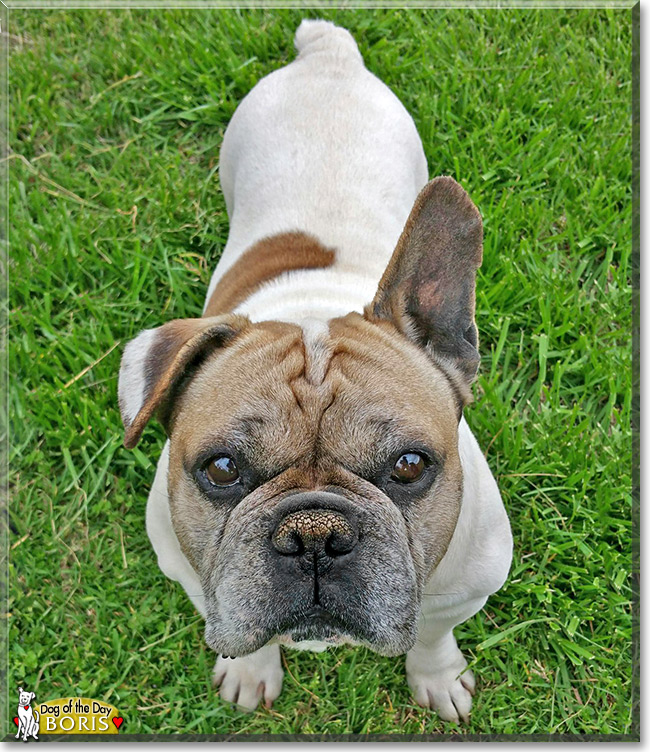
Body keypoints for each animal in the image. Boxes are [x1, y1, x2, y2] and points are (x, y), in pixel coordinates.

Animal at [117, 19, 512, 724]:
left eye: (410, 465)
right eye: (221, 470)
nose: (314, 534)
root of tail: (326, 56)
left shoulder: (460, 593)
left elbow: (432, 633)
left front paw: (437, 677)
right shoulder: (194, 575)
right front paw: (250, 670)